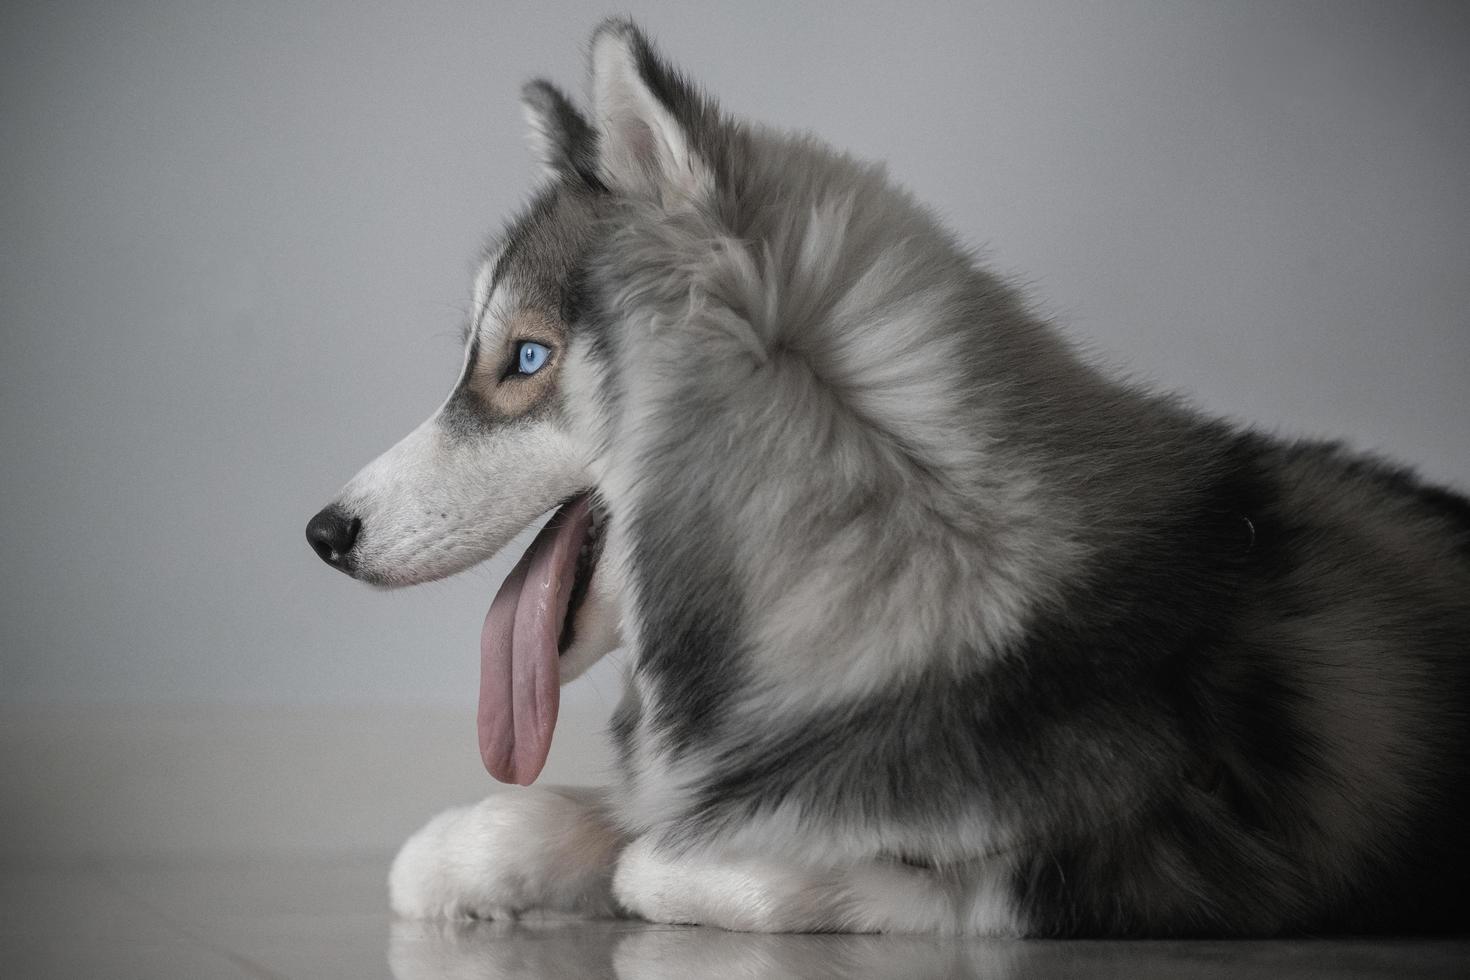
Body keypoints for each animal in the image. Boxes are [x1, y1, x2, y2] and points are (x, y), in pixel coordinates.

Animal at [304, 19, 1464, 940]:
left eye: (527, 359)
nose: (323, 531)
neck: (902, 543)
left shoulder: (1139, 864)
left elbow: (698, 861)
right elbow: (574, 816)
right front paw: (466, 856)